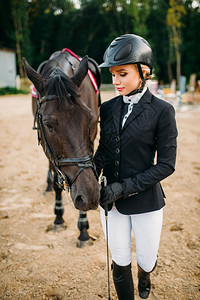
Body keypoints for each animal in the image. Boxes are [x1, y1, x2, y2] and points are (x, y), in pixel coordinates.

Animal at [22, 49, 101, 246]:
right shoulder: (47, 147)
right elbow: (57, 181)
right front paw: (58, 218)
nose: (90, 195)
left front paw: (83, 230)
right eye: (48, 125)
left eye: (89, 118)